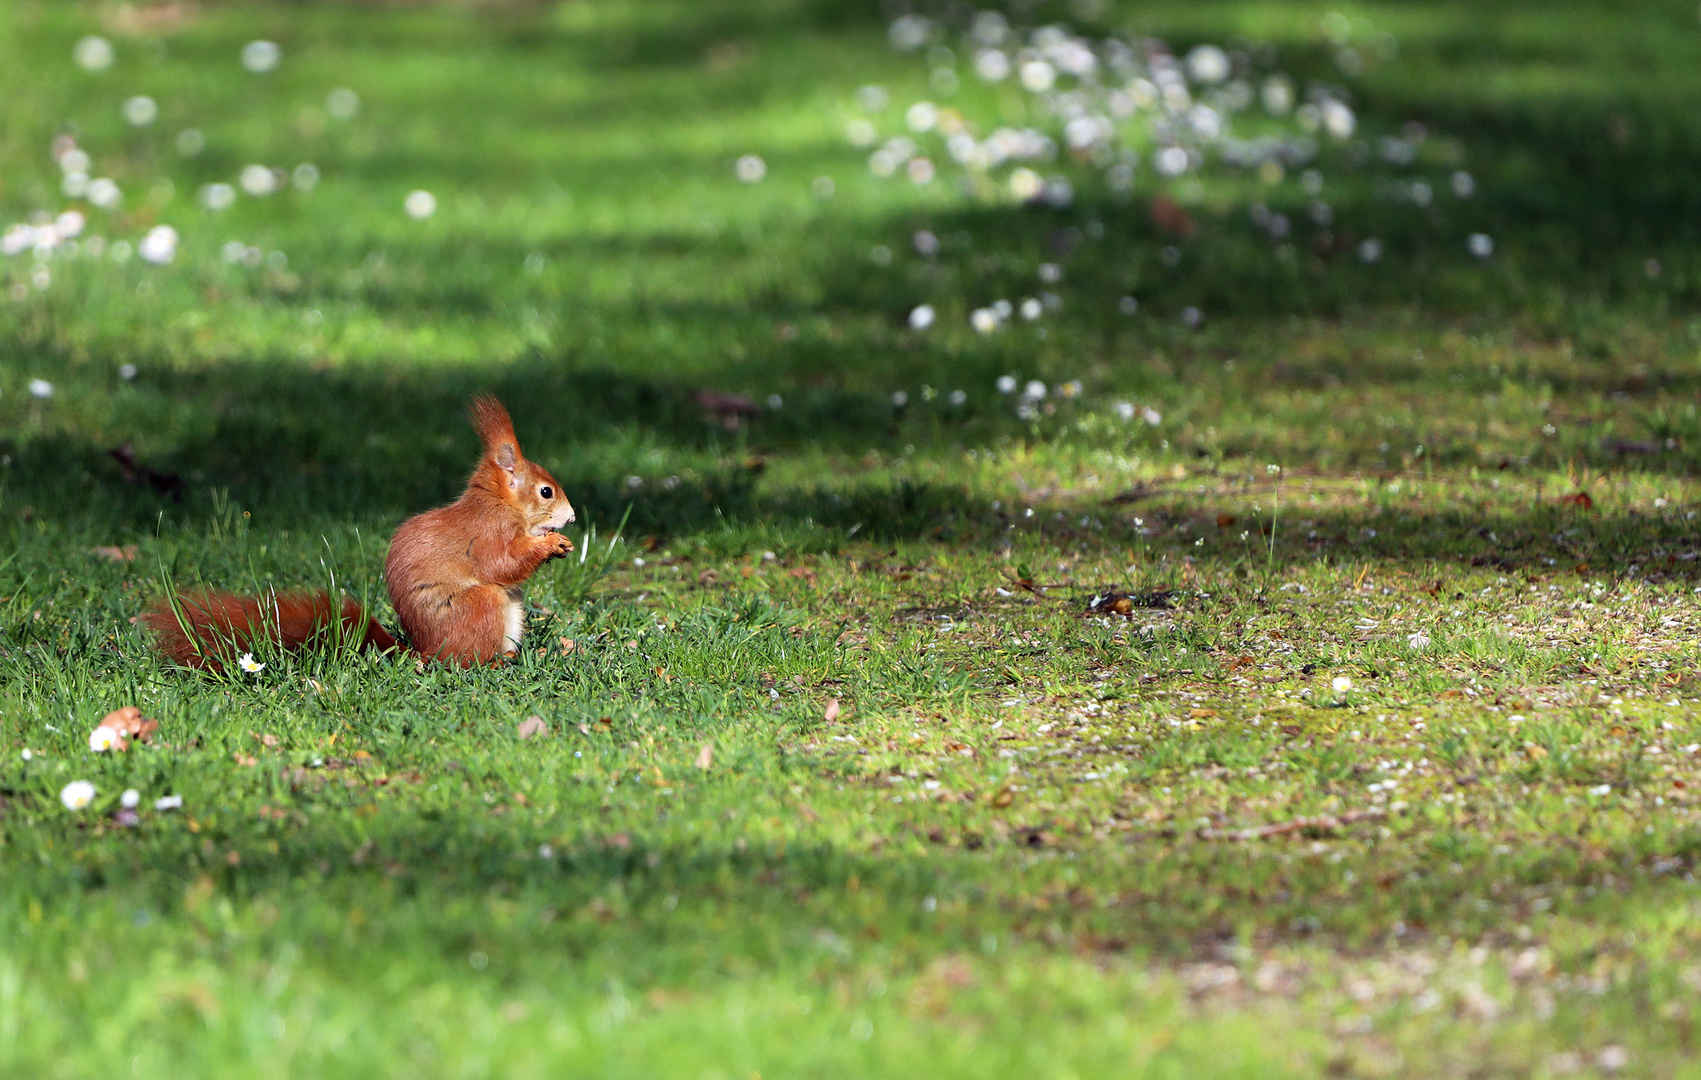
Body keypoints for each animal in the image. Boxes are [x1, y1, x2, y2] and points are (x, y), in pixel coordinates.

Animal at [142, 397, 574, 666]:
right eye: (546, 492)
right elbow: (502, 563)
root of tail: (424, 652)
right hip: (480, 607)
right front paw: (551, 543)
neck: (500, 502)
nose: (570, 518)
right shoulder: (487, 533)